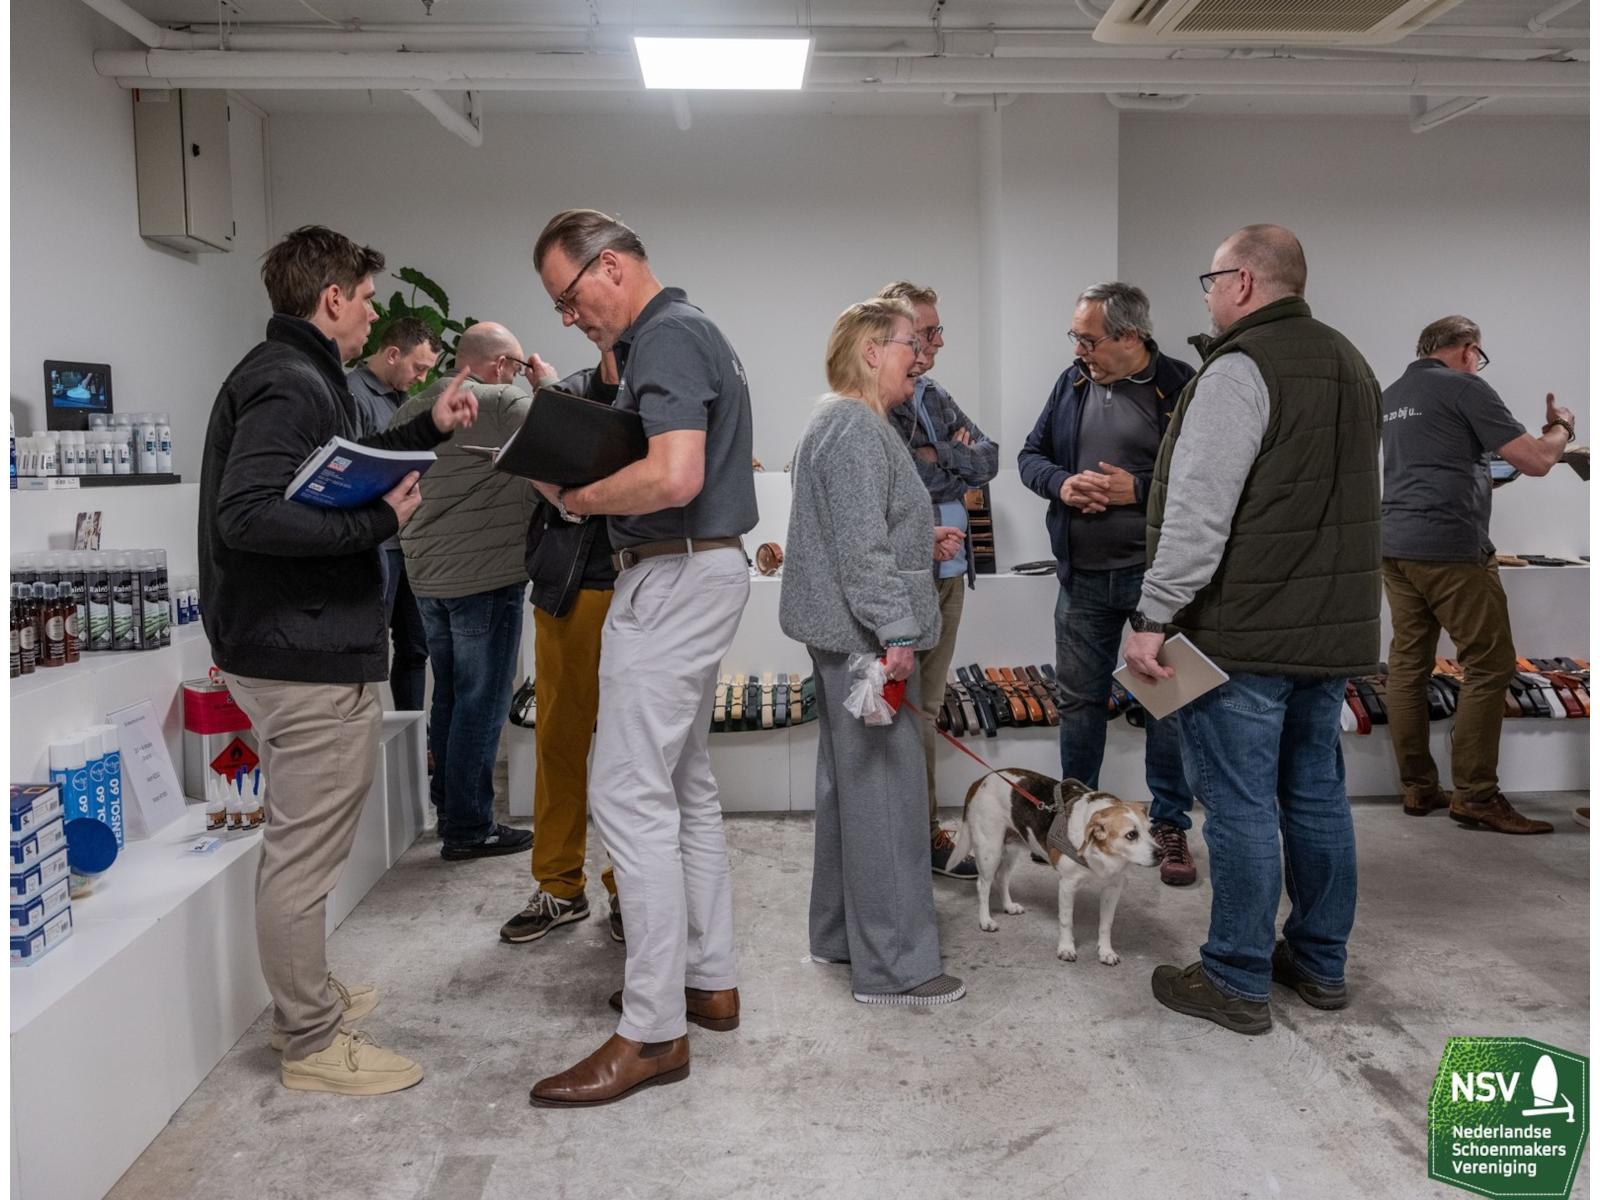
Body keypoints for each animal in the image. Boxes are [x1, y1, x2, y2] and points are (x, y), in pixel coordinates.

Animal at [948, 769, 1159, 965]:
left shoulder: (1112, 889)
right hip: (989, 850)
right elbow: (1066, 921)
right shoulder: (1067, 885)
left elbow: (1106, 924)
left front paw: (1106, 951)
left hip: (1010, 848)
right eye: (1131, 835)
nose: (1160, 853)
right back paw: (985, 920)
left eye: (1151, 830)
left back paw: (1008, 906)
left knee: (1001, 878)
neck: (1100, 853)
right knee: (983, 886)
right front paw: (1066, 948)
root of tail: (982, 779)